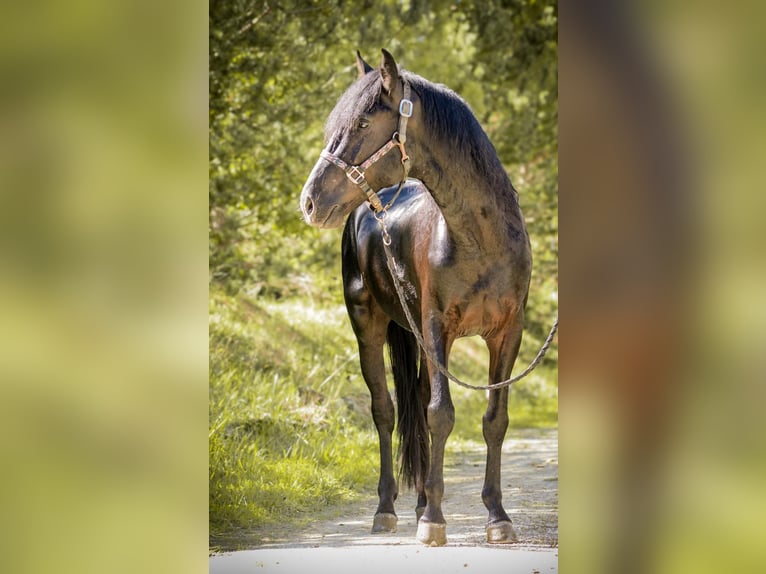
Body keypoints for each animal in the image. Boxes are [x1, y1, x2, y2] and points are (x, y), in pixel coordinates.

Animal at [300, 50, 536, 548]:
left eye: (363, 122)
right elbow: (440, 415)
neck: (479, 241)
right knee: (385, 412)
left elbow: (494, 419)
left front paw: (496, 516)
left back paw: (422, 499)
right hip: (369, 326)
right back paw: (388, 509)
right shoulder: (435, 327)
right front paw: (433, 522)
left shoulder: (508, 333)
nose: (309, 202)